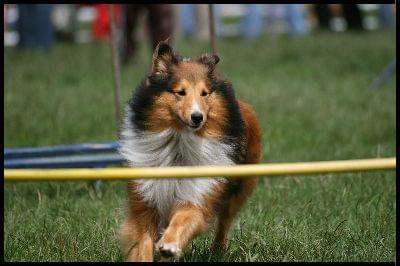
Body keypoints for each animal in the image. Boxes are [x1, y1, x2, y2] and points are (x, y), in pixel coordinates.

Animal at [119, 40, 262, 260]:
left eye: (204, 93)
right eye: (180, 92)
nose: (197, 117)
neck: (178, 144)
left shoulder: (197, 192)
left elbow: (183, 218)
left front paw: (169, 245)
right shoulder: (145, 200)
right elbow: (142, 241)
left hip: (239, 188)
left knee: (225, 220)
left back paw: (217, 249)